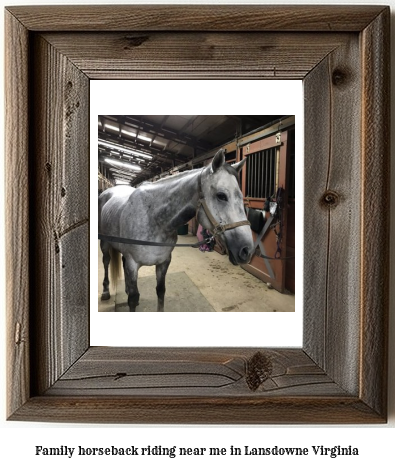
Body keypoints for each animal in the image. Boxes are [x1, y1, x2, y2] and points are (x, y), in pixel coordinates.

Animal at [99, 150, 254, 312]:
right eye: (221, 196)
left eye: (241, 196)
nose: (247, 250)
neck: (154, 219)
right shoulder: (133, 263)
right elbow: (133, 299)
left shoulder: (164, 262)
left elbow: (160, 291)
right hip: (104, 244)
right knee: (106, 261)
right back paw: (105, 292)